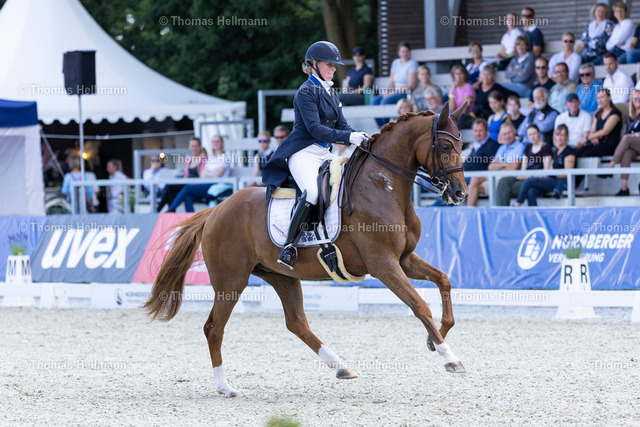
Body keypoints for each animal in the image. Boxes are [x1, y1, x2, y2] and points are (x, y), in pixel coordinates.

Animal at [143, 103, 469, 397]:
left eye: (462, 144)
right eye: (444, 145)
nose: (460, 194)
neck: (382, 186)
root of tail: (216, 210)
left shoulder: (404, 258)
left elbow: (444, 280)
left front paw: (434, 340)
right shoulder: (383, 264)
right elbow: (419, 305)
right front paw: (450, 357)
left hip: (281, 276)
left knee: (297, 323)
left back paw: (341, 367)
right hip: (230, 280)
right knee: (214, 327)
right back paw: (225, 387)